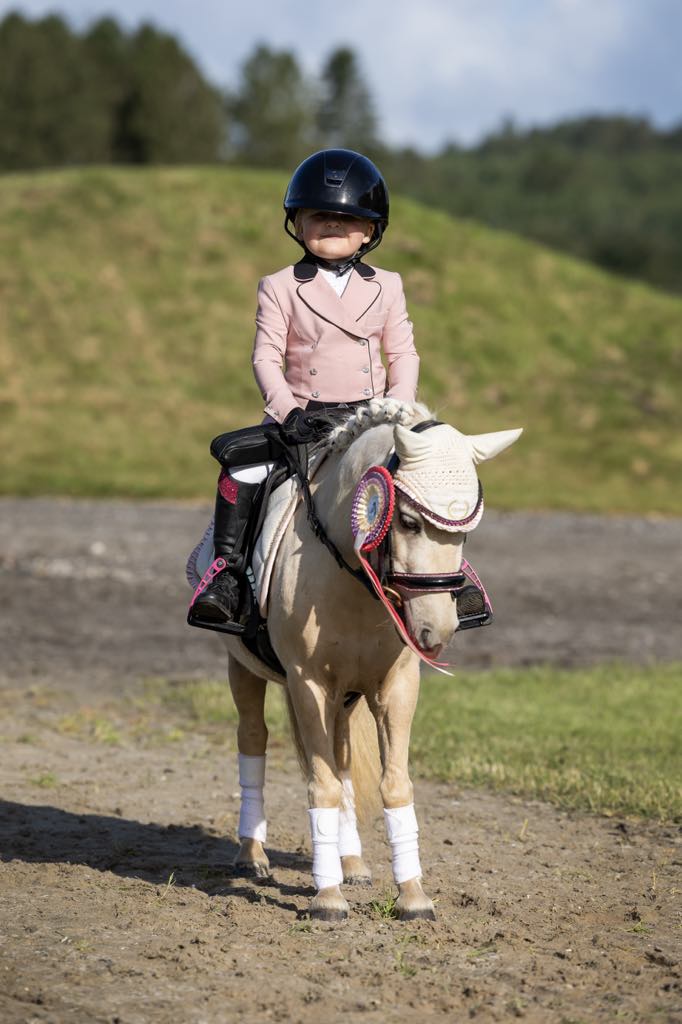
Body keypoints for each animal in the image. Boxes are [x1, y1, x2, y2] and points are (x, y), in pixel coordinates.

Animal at [204, 397, 518, 921]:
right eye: (408, 521)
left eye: (466, 534)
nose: (438, 631)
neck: (350, 576)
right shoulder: (308, 683)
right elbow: (323, 785)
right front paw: (327, 898)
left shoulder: (396, 686)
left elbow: (393, 784)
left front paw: (412, 895)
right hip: (244, 669)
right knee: (254, 741)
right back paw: (252, 854)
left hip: (346, 697)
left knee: (342, 758)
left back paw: (351, 862)